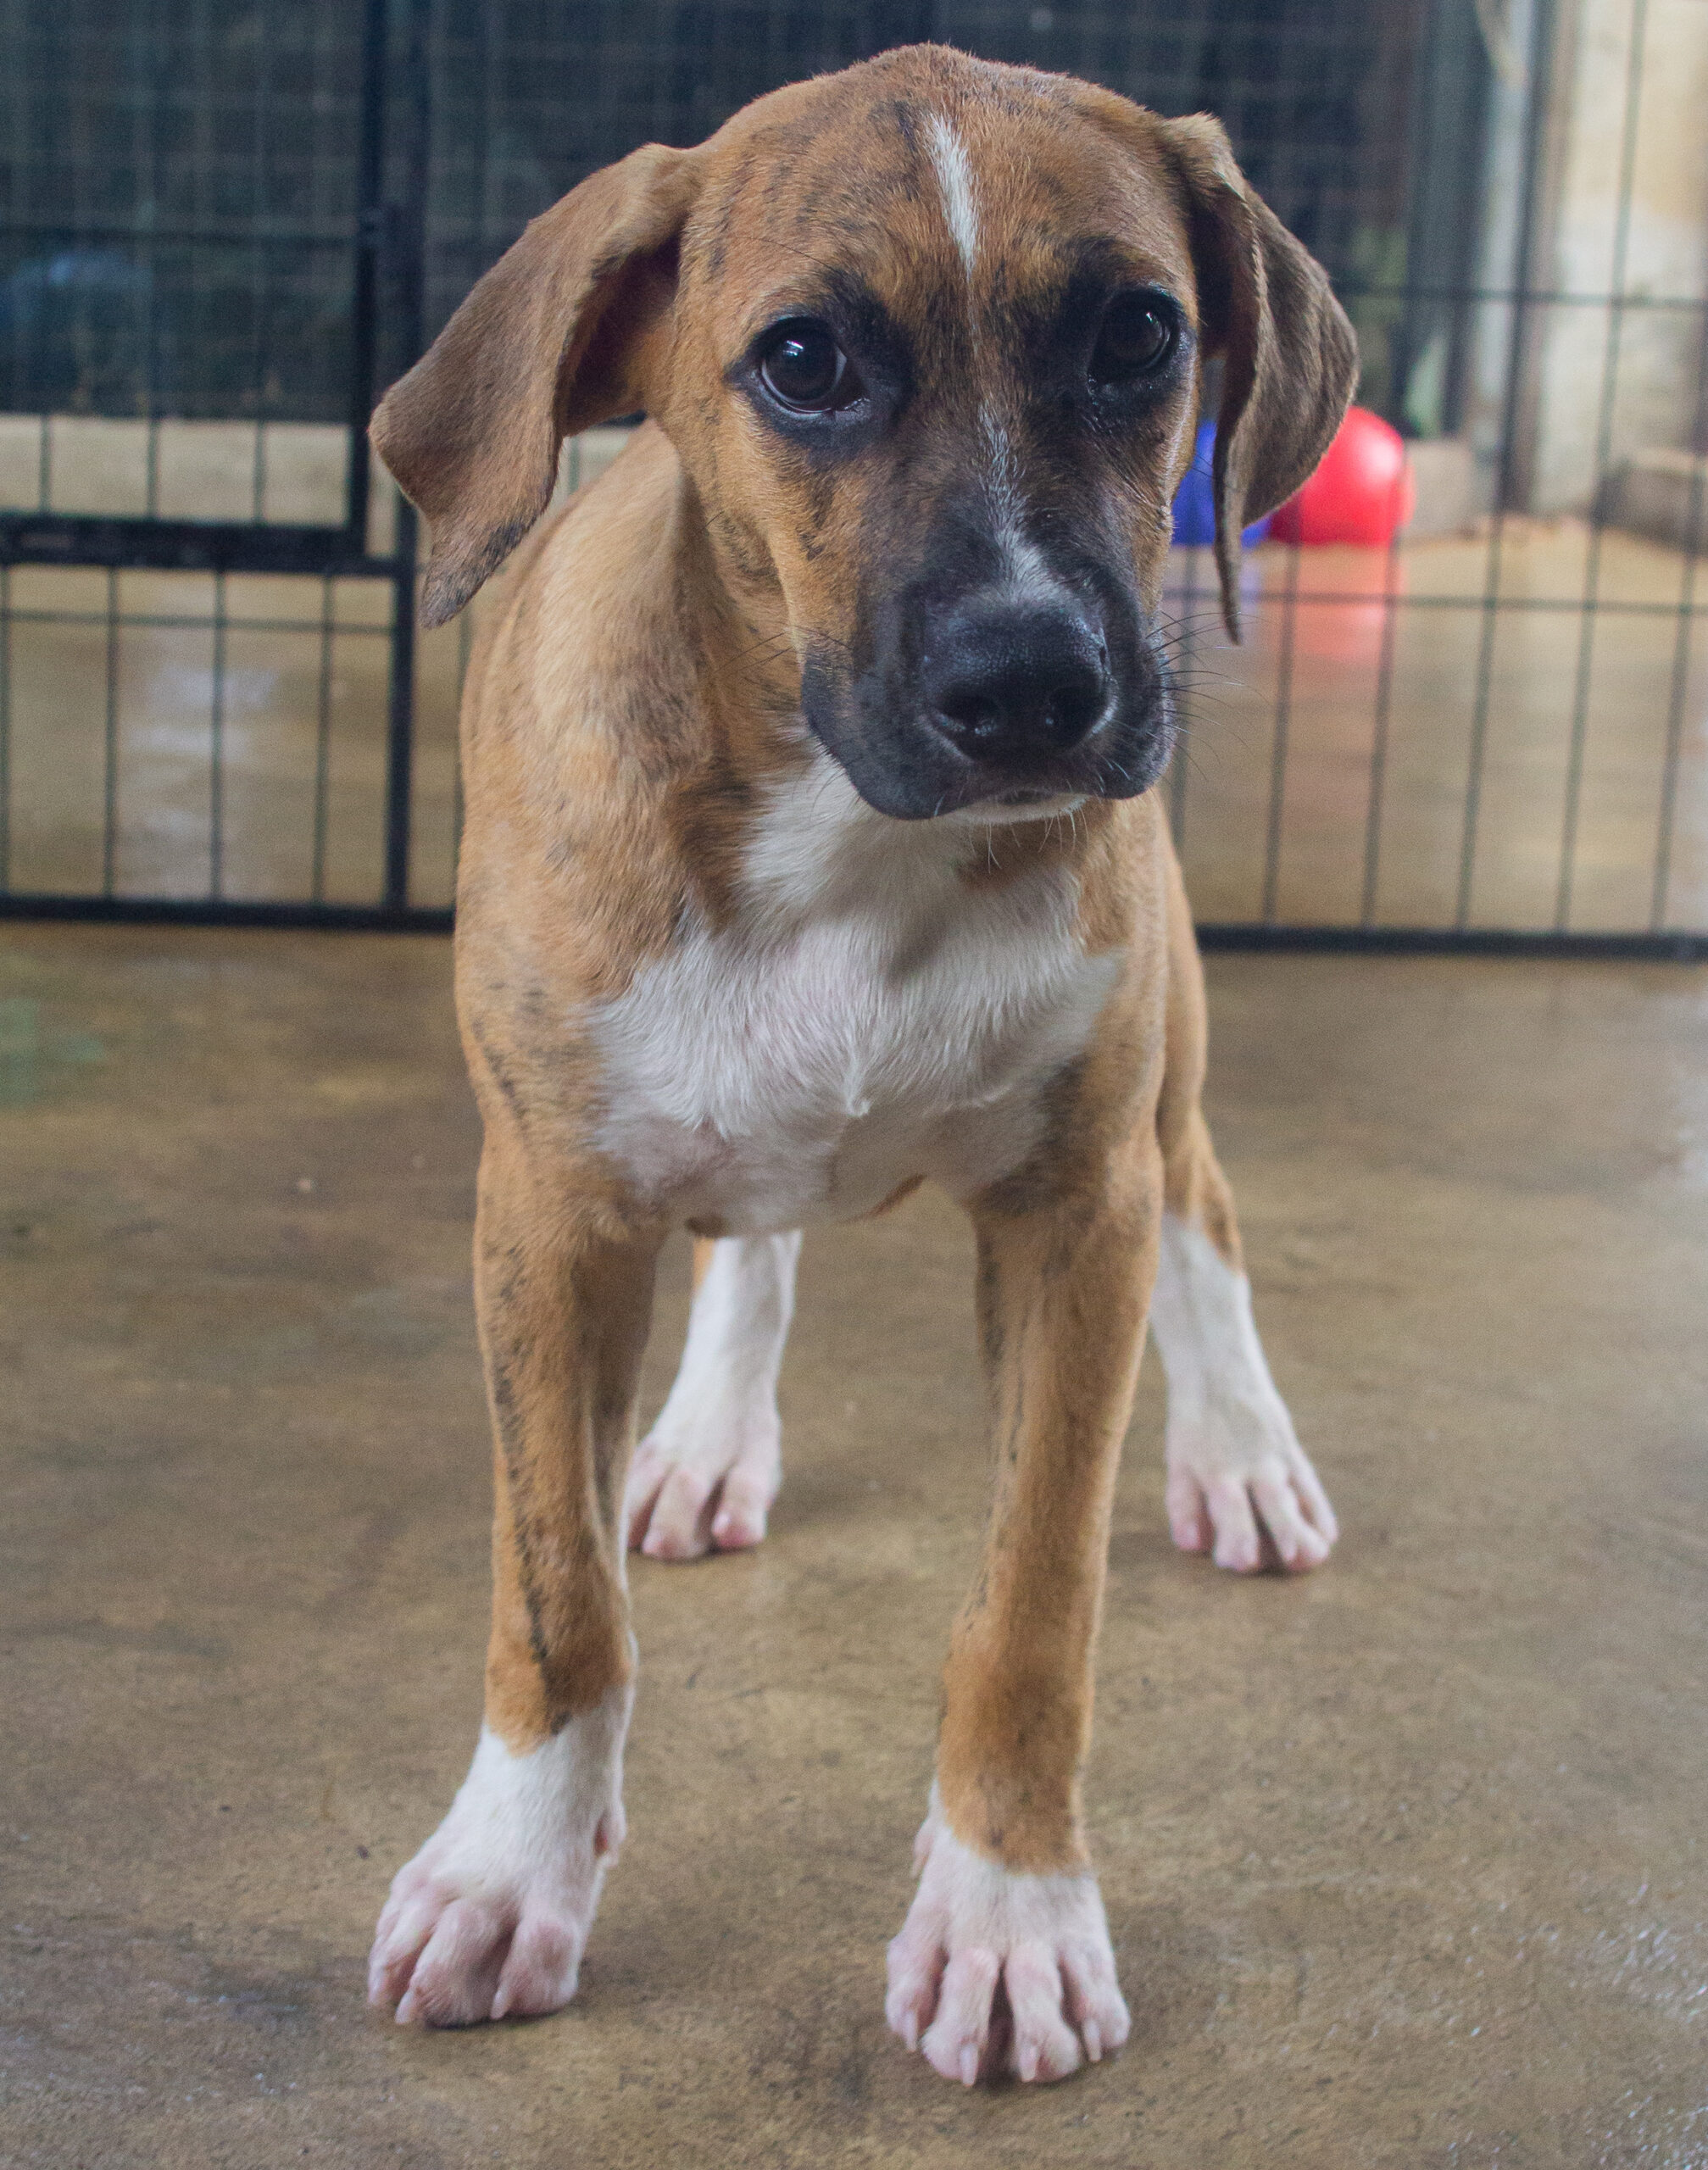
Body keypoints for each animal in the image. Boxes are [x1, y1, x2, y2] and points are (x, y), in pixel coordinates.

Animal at [366, 42, 1354, 2083]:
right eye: (803, 361)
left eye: (1140, 335)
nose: (1034, 683)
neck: (847, 835)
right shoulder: (547, 1214)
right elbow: (555, 1598)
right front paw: (507, 1868)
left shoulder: (1074, 1219)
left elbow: (1033, 1606)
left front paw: (1007, 1910)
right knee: (758, 1239)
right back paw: (703, 1437)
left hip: (1161, 1082)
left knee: (1207, 1214)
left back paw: (1239, 1452)